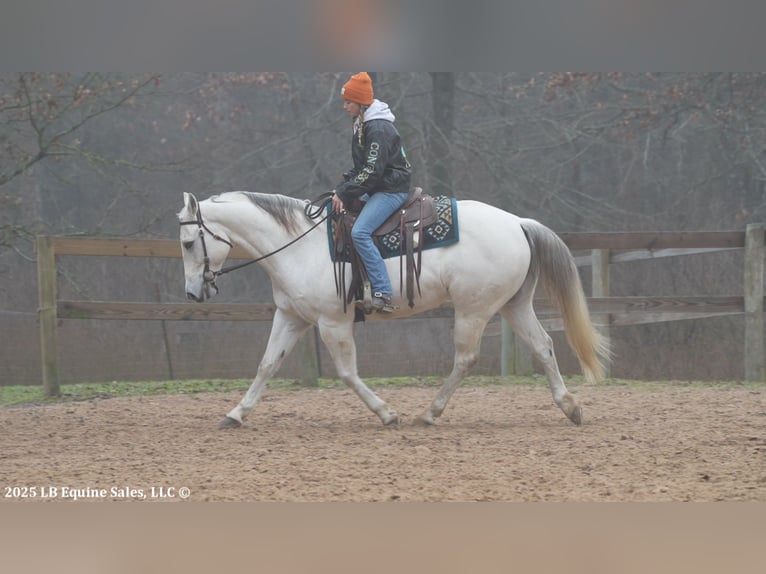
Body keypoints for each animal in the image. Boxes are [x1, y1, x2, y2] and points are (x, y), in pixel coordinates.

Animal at [177, 191, 608, 430]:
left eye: (186, 242)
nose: (193, 293)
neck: (299, 245)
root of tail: (518, 223)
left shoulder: (333, 323)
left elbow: (348, 374)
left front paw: (387, 414)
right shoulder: (292, 318)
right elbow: (267, 365)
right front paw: (236, 414)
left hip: (474, 309)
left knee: (465, 358)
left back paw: (430, 413)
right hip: (513, 305)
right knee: (543, 346)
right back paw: (570, 407)